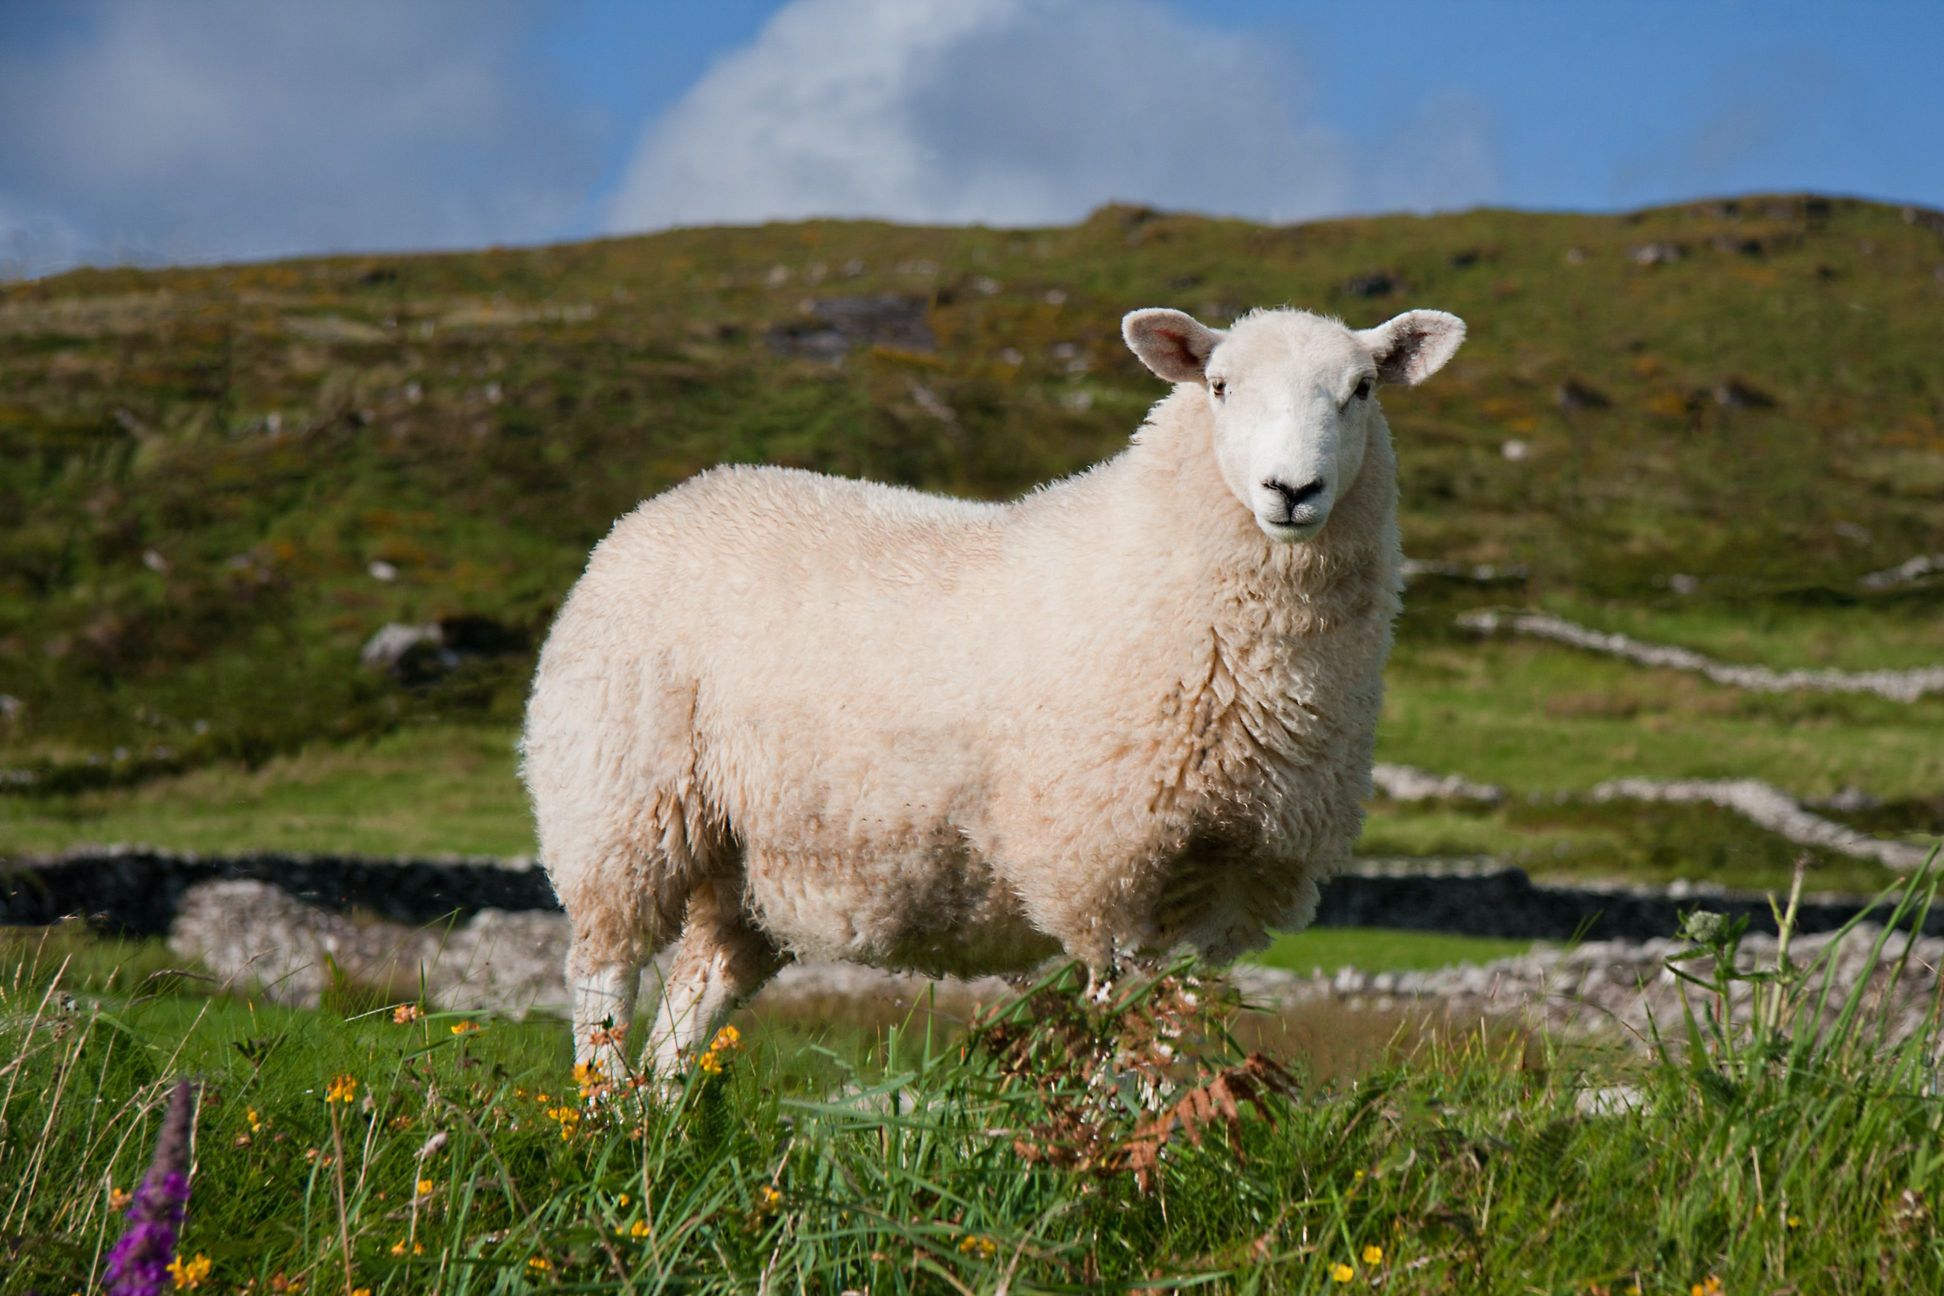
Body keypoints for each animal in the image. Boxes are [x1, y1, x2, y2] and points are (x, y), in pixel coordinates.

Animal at [520, 305, 1466, 1076]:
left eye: (1362, 388)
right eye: (1221, 386)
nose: (1292, 490)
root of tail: (660, 506)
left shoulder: (1230, 878)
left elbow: (1169, 1040)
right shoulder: (1104, 865)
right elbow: (1117, 1033)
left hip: (748, 859)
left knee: (695, 992)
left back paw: (659, 1125)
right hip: (622, 800)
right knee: (603, 977)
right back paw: (603, 1118)